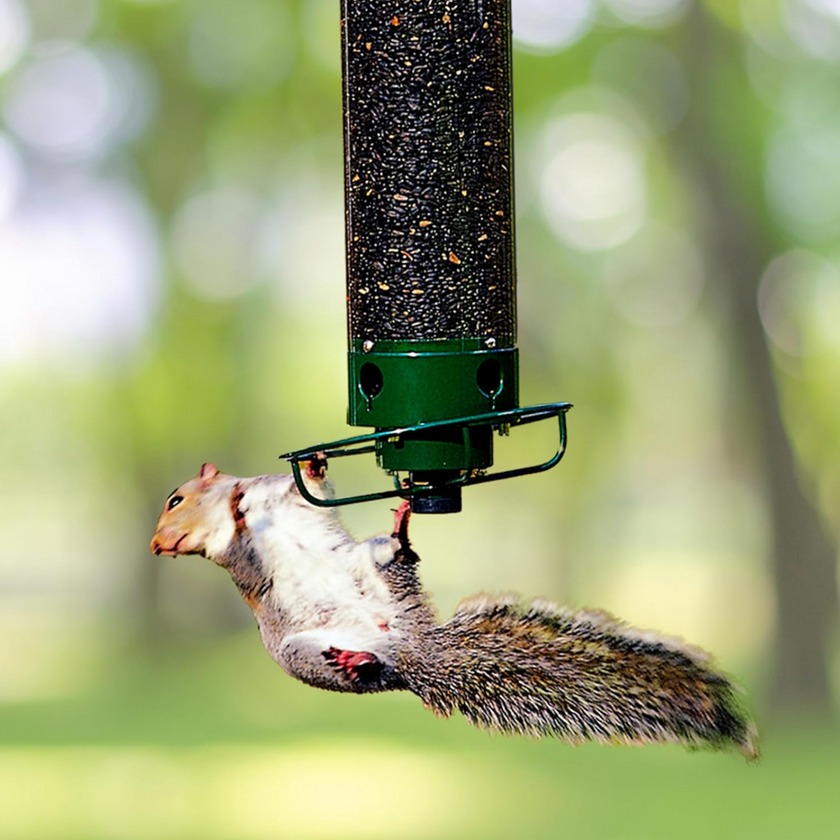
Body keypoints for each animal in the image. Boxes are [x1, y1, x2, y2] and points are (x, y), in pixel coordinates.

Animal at [150, 460, 758, 760]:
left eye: (175, 498)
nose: (159, 544)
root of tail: (411, 652)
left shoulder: (288, 492)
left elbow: (308, 485)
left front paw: (271, 484)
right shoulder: (239, 556)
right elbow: (240, 543)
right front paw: (234, 512)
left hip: (377, 570)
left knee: (397, 558)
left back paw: (400, 529)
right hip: (303, 654)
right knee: (368, 670)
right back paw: (355, 662)